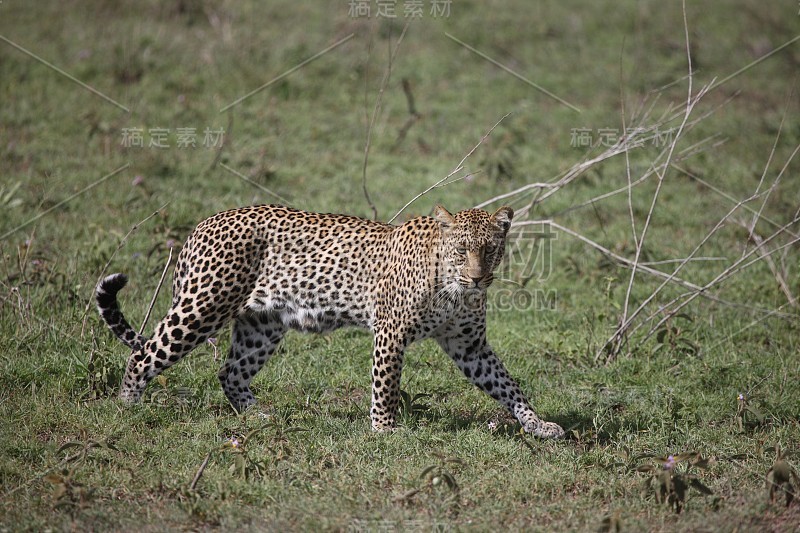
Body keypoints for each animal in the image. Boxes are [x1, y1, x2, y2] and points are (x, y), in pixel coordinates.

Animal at [95, 202, 564, 438]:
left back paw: (258, 417)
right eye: (462, 249)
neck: (453, 288)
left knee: (229, 371)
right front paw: (384, 431)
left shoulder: (469, 346)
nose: (479, 276)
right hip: (203, 307)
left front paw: (537, 424)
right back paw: (127, 409)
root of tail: (201, 224)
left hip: (262, 325)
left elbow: (507, 384)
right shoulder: (391, 333)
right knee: (144, 355)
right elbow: (386, 387)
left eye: (490, 249)